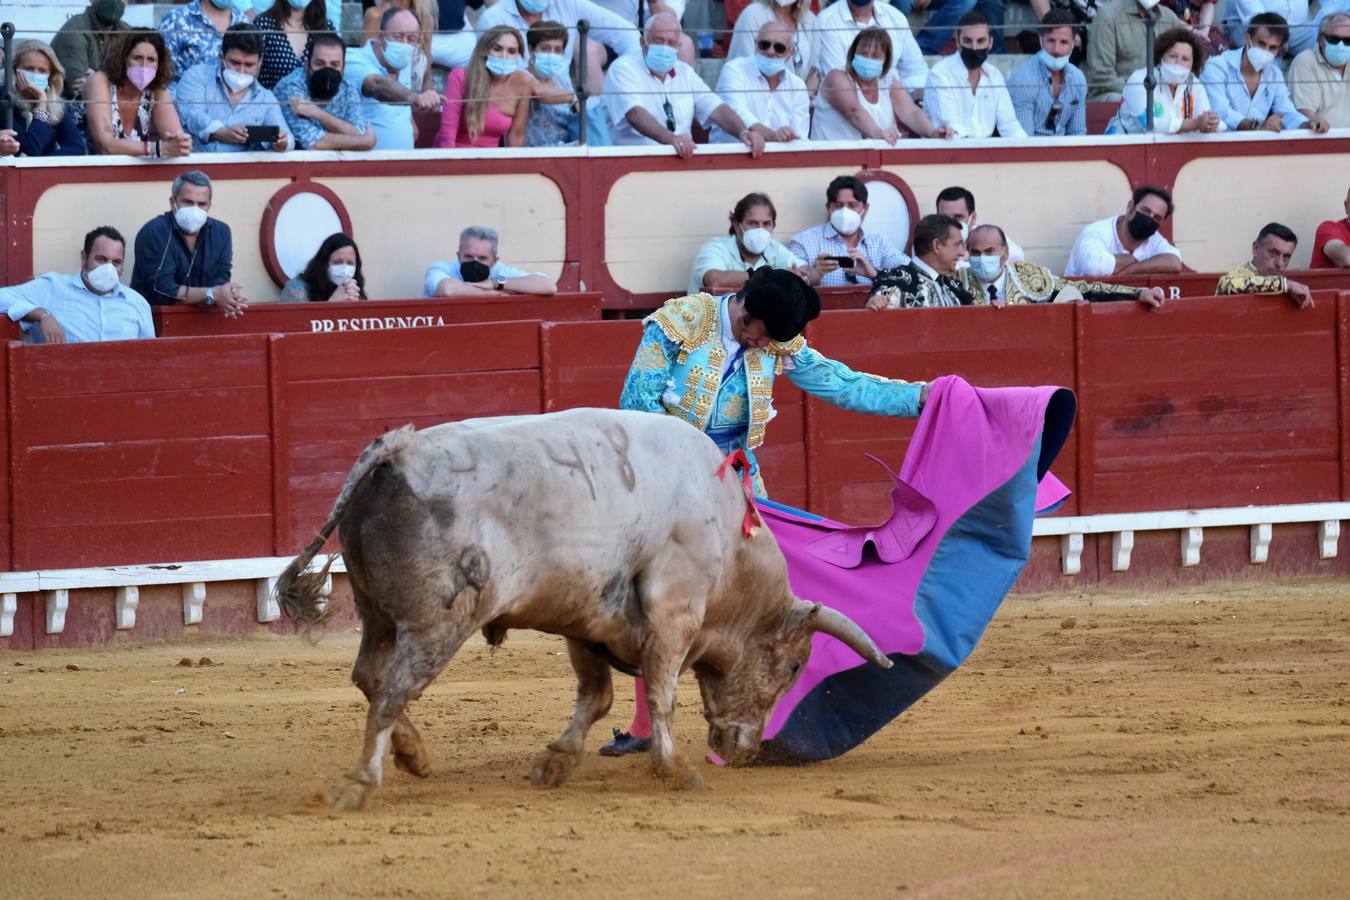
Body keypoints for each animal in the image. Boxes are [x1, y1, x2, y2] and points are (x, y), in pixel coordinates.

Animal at [278, 407, 891, 809]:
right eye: (792, 666)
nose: (746, 751)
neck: (730, 544)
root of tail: (397, 448)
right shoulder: (675, 612)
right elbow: (661, 692)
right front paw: (674, 769)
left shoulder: (587, 620)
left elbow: (597, 698)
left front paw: (555, 761)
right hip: (436, 623)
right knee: (390, 692)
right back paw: (361, 782)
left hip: (377, 615)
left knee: (369, 675)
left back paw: (414, 755)